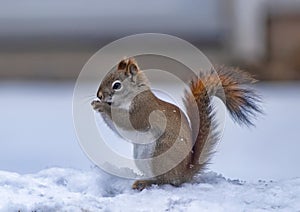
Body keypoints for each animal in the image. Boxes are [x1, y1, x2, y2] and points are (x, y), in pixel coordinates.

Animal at [91, 56, 260, 190]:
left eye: (117, 85)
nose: (99, 95)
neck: (134, 95)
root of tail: (185, 172)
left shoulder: (143, 111)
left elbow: (127, 122)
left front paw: (102, 106)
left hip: (159, 154)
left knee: (166, 180)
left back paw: (145, 182)